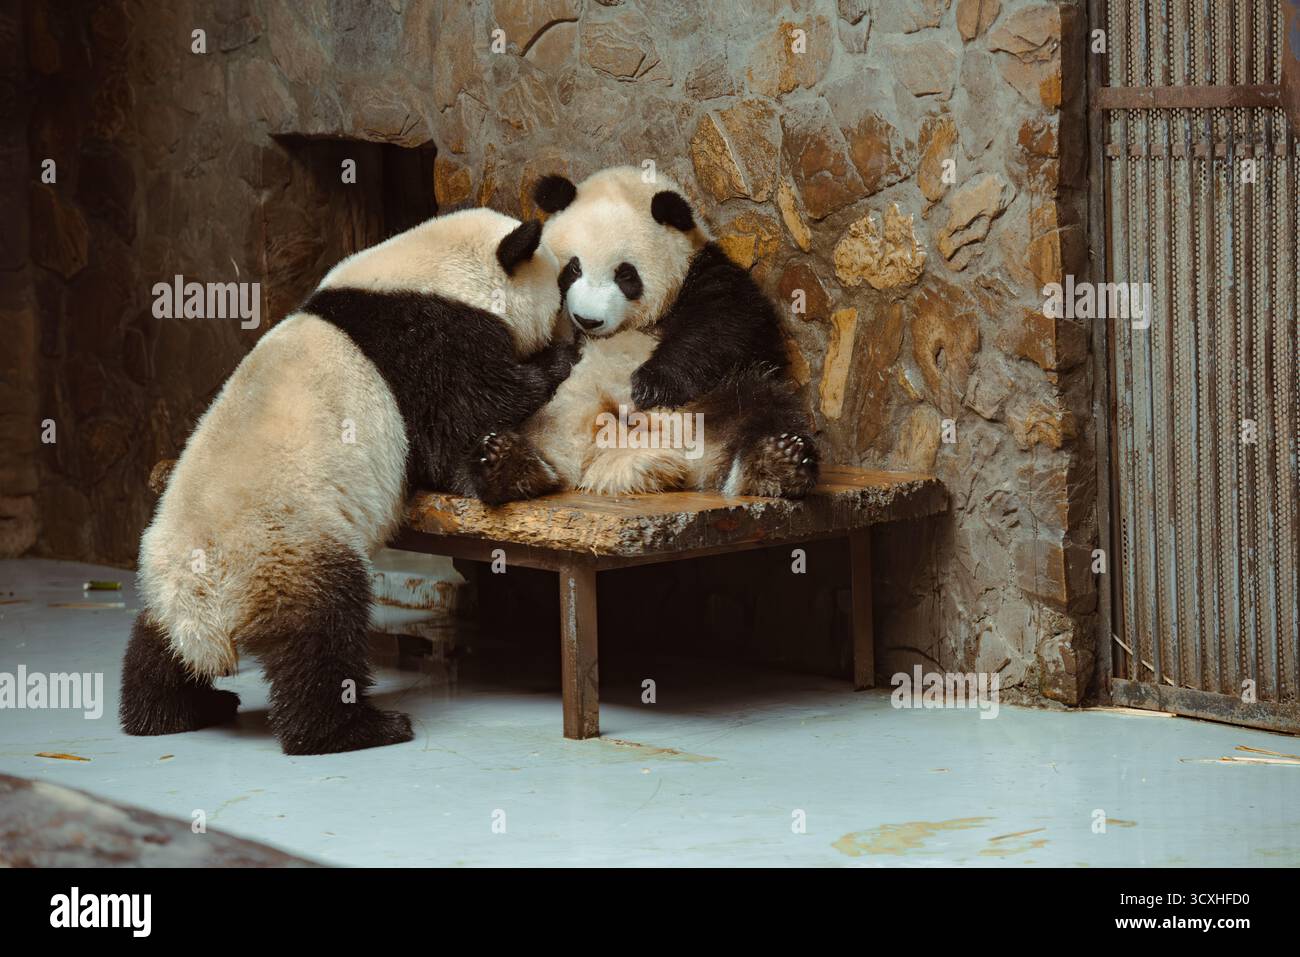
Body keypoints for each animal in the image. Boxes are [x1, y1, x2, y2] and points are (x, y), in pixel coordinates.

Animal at [120, 208, 573, 755]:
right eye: (561, 286)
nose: (576, 318)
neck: (433, 274)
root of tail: (203, 608)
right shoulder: (427, 342)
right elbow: (467, 413)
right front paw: (557, 364)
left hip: (163, 576)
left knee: (155, 642)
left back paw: (170, 712)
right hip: (287, 551)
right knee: (323, 634)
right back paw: (356, 729)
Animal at [470, 166, 819, 503]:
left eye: (625, 275)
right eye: (574, 268)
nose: (587, 320)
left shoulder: (702, 273)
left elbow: (729, 323)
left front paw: (651, 384)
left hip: (714, 397)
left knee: (764, 405)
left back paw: (778, 462)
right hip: (547, 411)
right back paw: (505, 463)